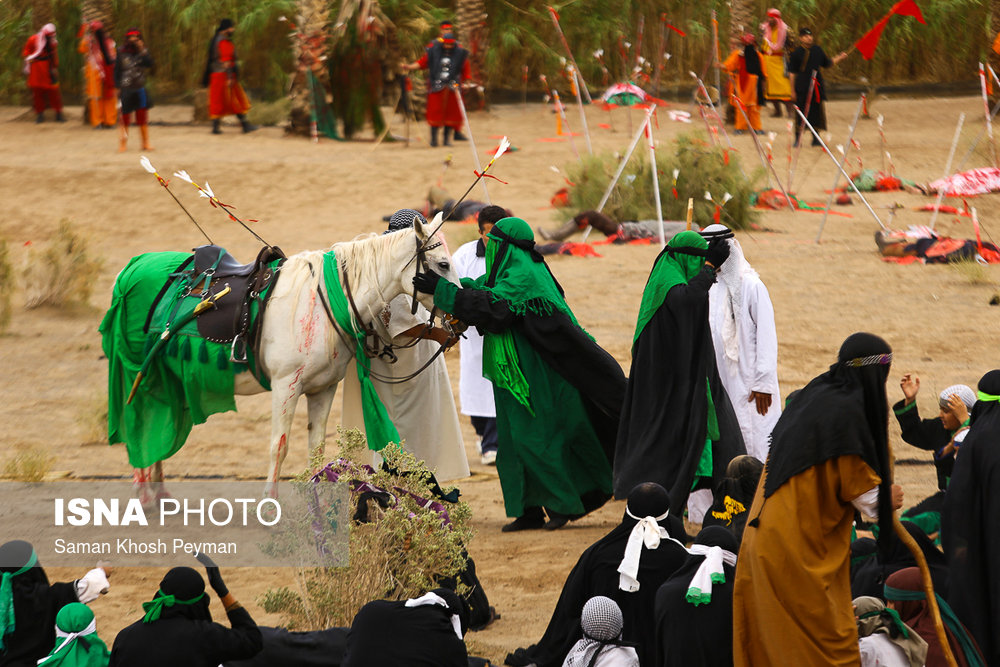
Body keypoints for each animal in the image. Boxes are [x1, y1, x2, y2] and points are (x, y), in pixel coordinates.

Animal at [121, 219, 460, 500]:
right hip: (137, 371)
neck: (323, 304)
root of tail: (137, 264)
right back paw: (144, 495)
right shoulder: (286, 387)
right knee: (138, 422)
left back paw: (159, 492)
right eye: (443, 264)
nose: (458, 318)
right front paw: (269, 507)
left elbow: (316, 447)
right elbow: (279, 447)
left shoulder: (323, 389)